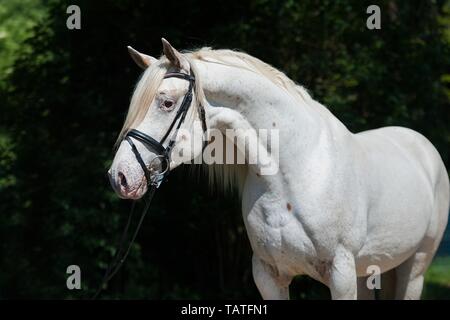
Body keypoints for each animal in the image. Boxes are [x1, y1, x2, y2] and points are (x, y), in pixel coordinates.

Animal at [110, 38, 450, 298]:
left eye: (166, 102)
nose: (119, 177)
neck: (292, 174)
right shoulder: (268, 275)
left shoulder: (340, 275)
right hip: (368, 270)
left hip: (414, 268)